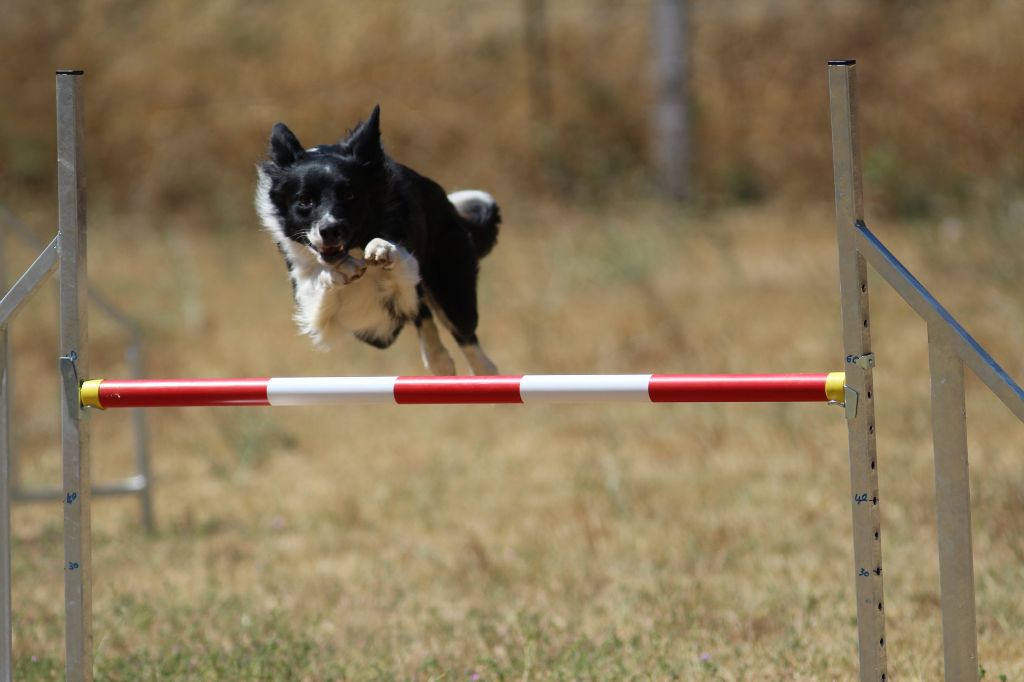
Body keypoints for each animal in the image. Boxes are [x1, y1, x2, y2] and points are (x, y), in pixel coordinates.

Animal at [251, 103, 499, 374]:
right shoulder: (327, 310)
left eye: (349, 195)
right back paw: (439, 360)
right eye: (305, 201)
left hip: (452, 291)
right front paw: (341, 270)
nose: (330, 230)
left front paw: (381, 249)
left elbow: (397, 260)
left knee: (471, 346)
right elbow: (321, 282)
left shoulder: (402, 279)